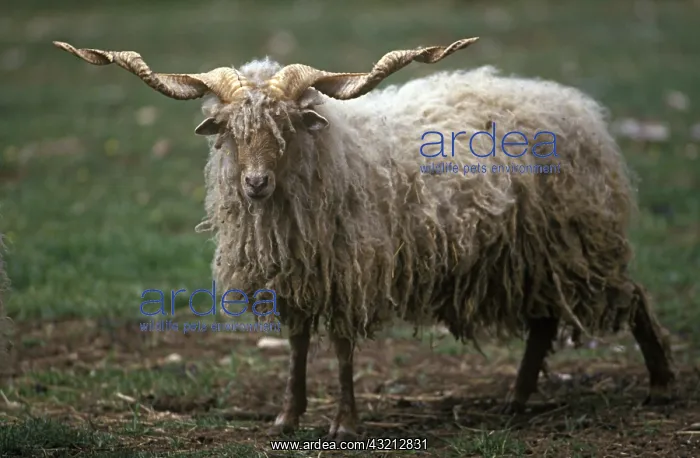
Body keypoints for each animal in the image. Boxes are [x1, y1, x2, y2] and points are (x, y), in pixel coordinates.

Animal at [53, 37, 676, 440]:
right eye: (228, 131)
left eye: (288, 125)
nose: (255, 184)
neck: (334, 154)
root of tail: (576, 106)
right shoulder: (301, 276)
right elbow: (298, 344)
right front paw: (288, 416)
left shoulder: (347, 271)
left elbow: (342, 349)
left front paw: (345, 421)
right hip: (532, 252)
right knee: (546, 321)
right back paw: (518, 401)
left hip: (577, 239)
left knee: (632, 299)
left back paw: (662, 387)